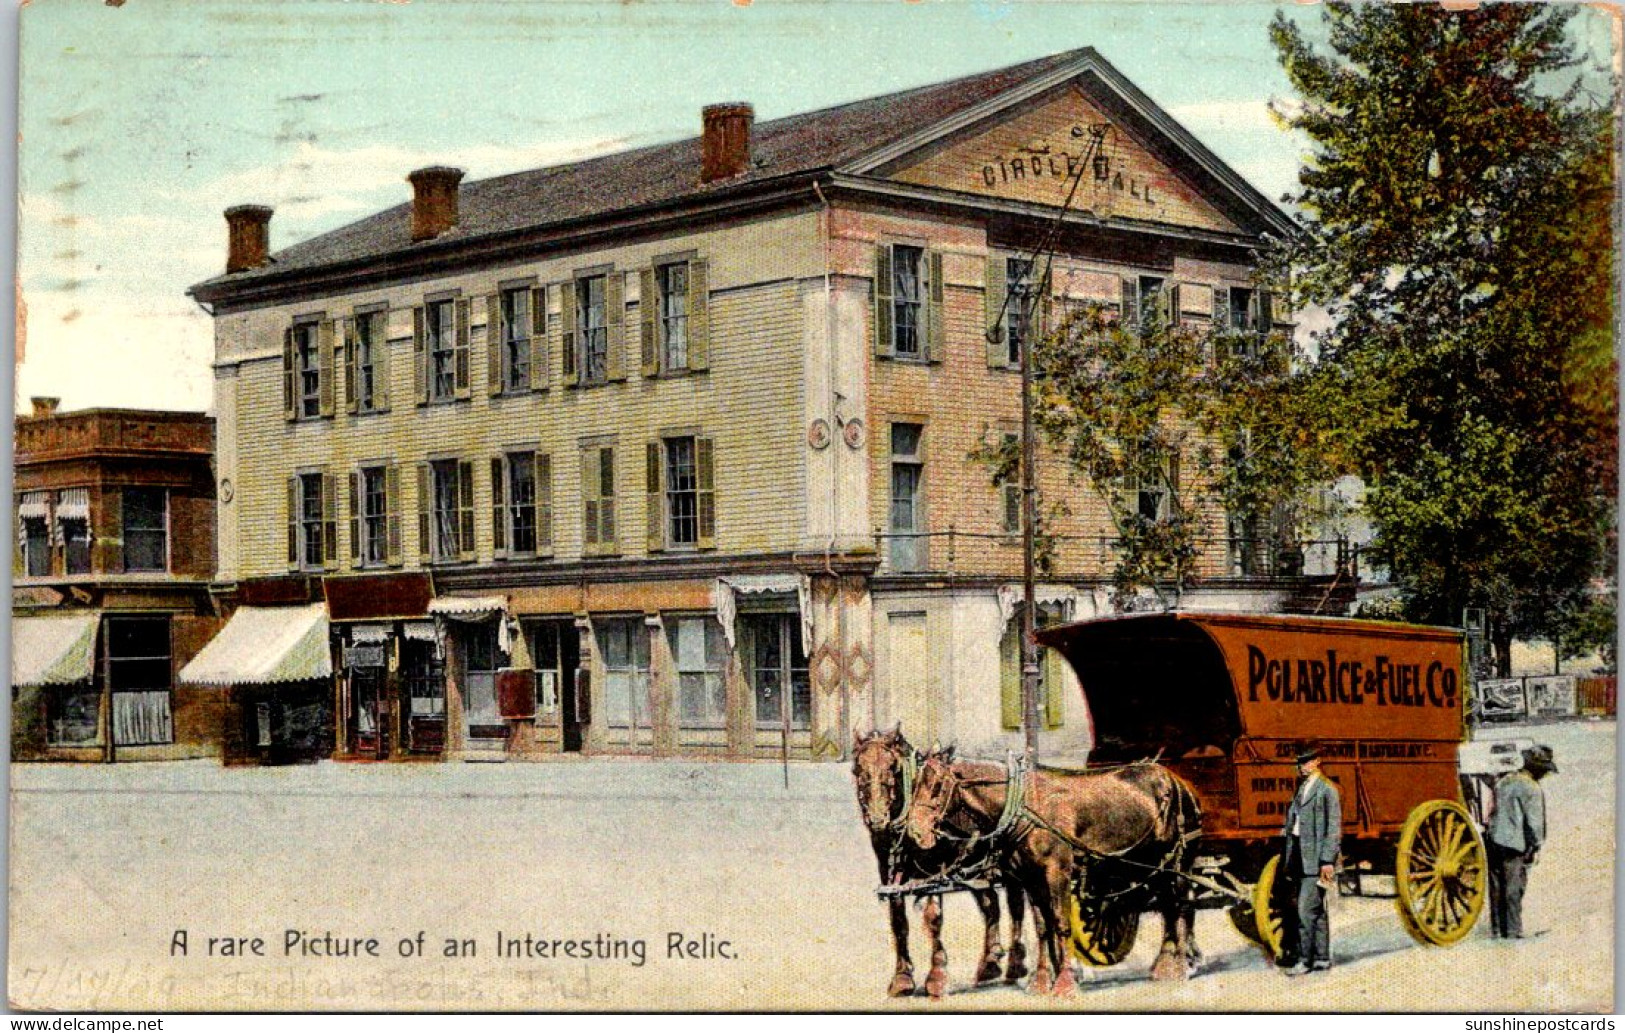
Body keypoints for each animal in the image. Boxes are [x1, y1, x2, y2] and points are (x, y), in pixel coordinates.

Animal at [851, 727, 1027, 1000]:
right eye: (857, 769)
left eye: (893, 767)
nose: (878, 819)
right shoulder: (889, 874)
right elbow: (898, 920)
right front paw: (902, 977)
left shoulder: (934, 873)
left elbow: (933, 917)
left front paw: (936, 975)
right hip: (976, 866)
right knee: (991, 905)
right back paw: (990, 963)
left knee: (1016, 906)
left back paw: (1015, 964)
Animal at [910, 747, 1202, 994]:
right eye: (914, 785)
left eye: (937, 786)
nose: (915, 831)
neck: (1027, 806)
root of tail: (1175, 780)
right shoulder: (1030, 879)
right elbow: (1042, 927)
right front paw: (1041, 980)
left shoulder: (1056, 873)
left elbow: (1061, 923)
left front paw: (1065, 982)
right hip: (1148, 865)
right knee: (1166, 907)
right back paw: (1166, 962)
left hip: (1178, 862)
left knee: (1180, 906)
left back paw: (1181, 964)